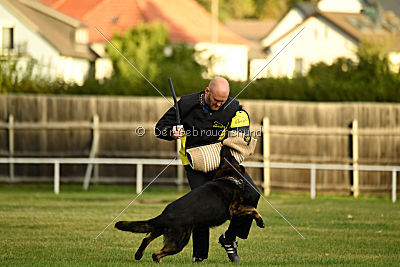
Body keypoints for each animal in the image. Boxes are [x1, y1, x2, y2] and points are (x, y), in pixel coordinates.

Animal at [115, 148, 266, 262]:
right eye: (230, 156)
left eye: (225, 156)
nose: (224, 146)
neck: (228, 177)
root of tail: (165, 215)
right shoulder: (234, 209)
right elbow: (253, 209)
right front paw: (260, 221)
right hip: (181, 241)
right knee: (156, 254)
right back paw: (156, 259)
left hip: (159, 230)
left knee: (146, 239)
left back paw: (138, 255)